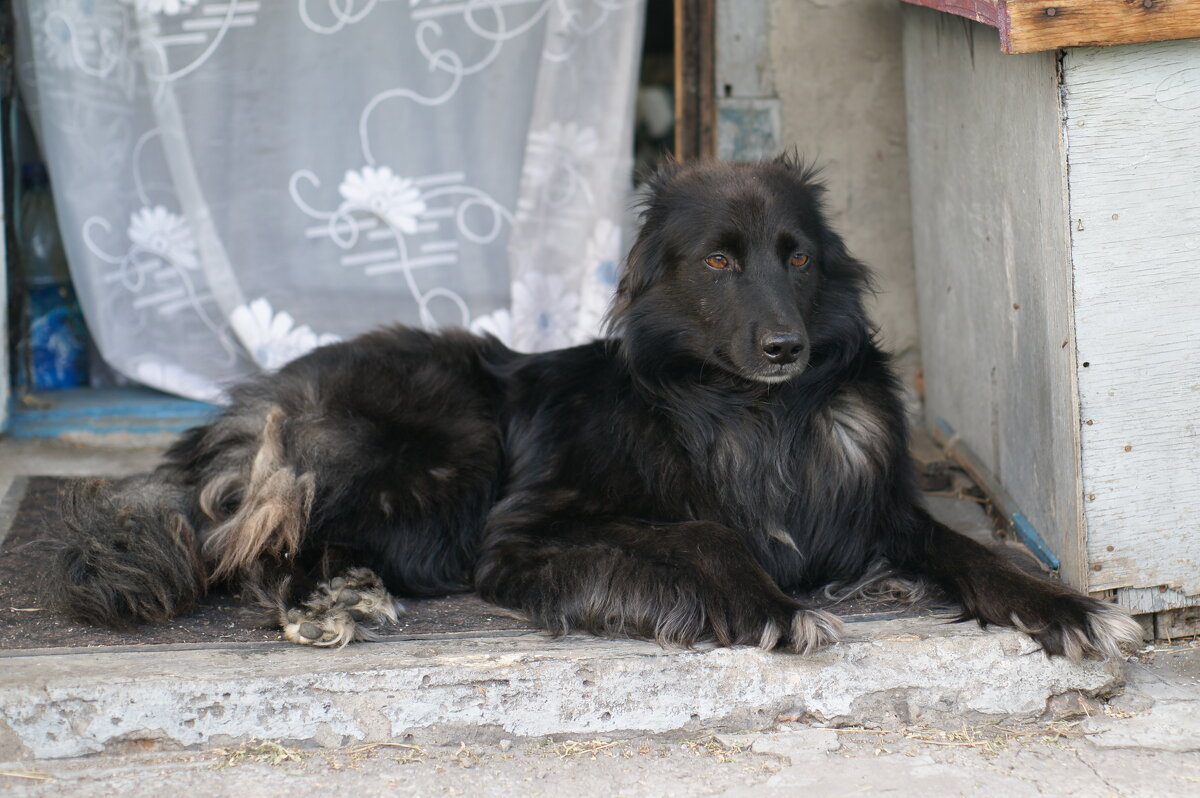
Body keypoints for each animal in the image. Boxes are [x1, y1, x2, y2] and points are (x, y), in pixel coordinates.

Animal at [44, 156, 1142, 657]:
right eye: (718, 262)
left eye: (796, 257)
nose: (785, 348)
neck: (750, 414)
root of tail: (249, 401)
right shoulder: (525, 534)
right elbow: (707, 535)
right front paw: (774, 609)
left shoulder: (882, 509)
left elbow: (975, 554)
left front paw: (1072, 609)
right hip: (445, 453)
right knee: (258, 544)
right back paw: (326, 602)